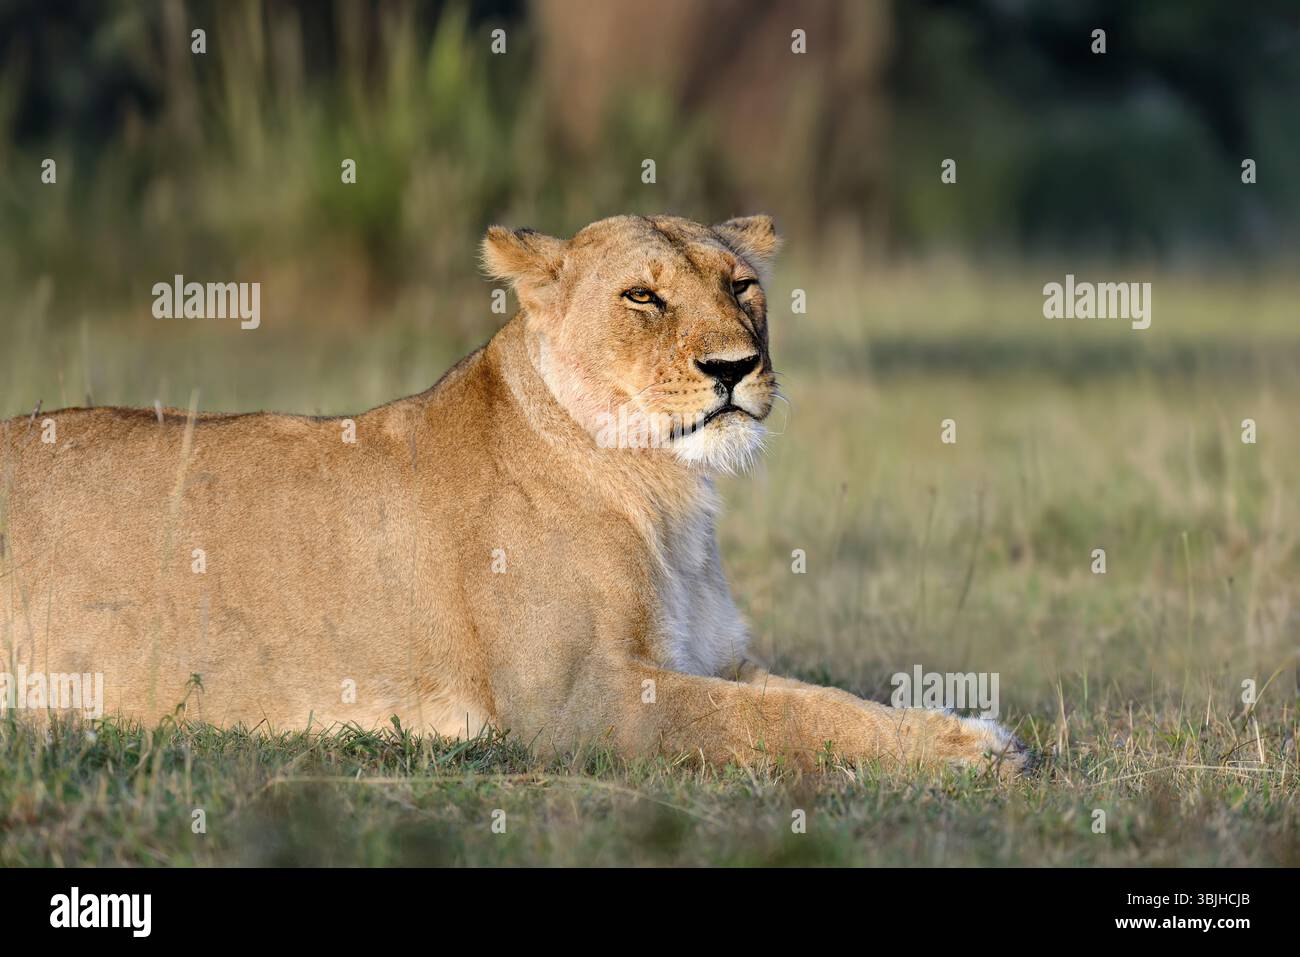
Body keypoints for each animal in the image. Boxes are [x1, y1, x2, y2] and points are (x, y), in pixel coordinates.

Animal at [0, 214, 1029, 776]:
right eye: (644, 298)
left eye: (742, 285)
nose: (736, 367)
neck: (669, 494)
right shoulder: (579, 702)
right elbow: (785, 720)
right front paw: (970, 755)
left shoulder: (713, 657)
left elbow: (829, 699)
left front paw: (966, 729)